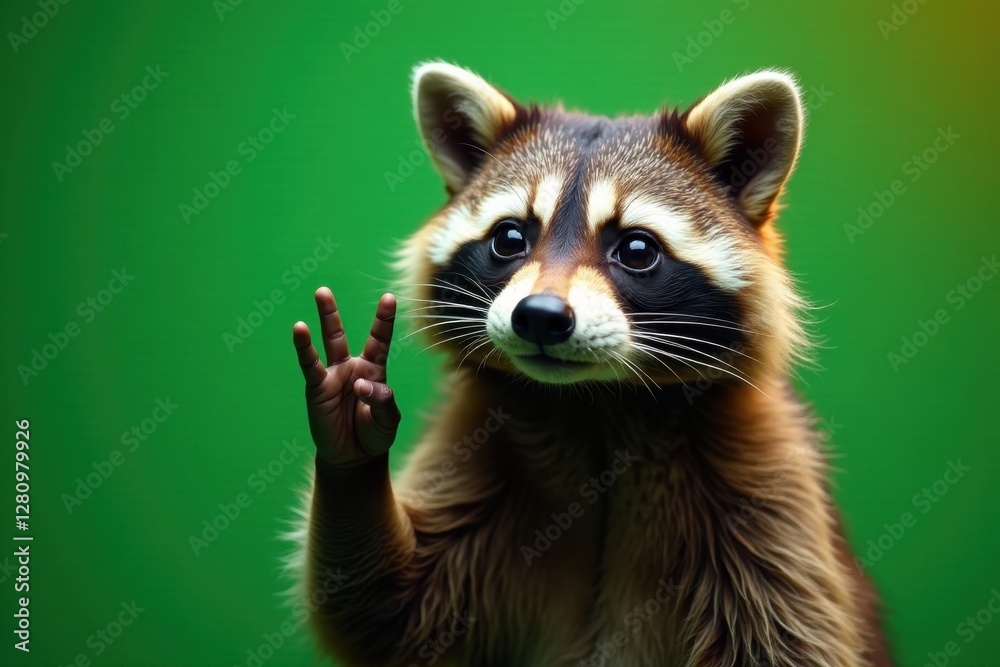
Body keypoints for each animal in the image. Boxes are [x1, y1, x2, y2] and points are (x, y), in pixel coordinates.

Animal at [289, 62, 893, 666]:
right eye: (510, 237)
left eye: (636, 249)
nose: (539, 316)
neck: (596, 404)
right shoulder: (478, 451)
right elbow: (387, 612)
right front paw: (350, 439)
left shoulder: (767, 489)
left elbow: (790, 636)